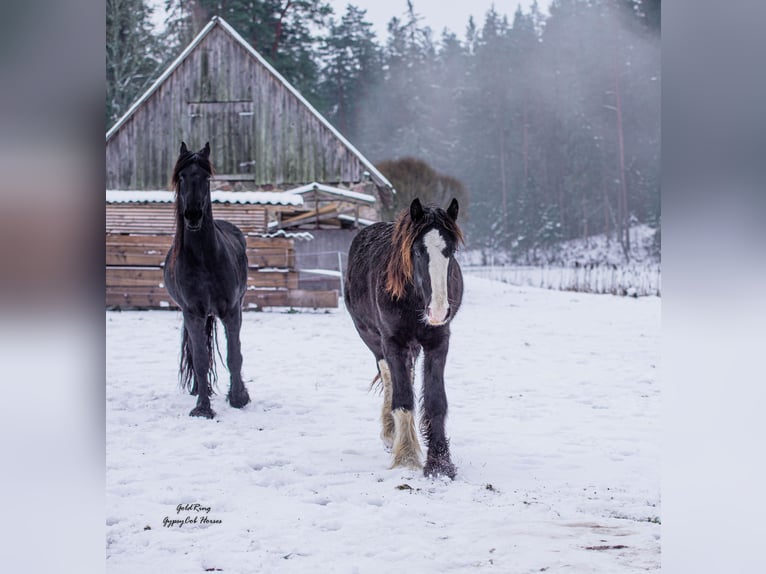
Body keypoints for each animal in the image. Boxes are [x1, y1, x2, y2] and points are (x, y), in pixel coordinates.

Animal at [165, 140, 252, 418]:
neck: (204, 258)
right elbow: (201, 359)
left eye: (206, 177)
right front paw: (203, 407)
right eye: (181, 176)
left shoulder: (232, 310)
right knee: (197, 352)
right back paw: (198, 390)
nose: (193, 215)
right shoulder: (192, 312)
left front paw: (239, 397)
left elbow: (235, 355)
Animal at [346, 199, 464, 482]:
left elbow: (435, 402)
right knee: (390, 378)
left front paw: (440, 464)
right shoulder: (393, 343)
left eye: (451, 251)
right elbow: (402, 398)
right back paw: (391, 434)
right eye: (418, 251)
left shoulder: (438, 343)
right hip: (373, 340)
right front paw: (407, 458)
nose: (438, 311)